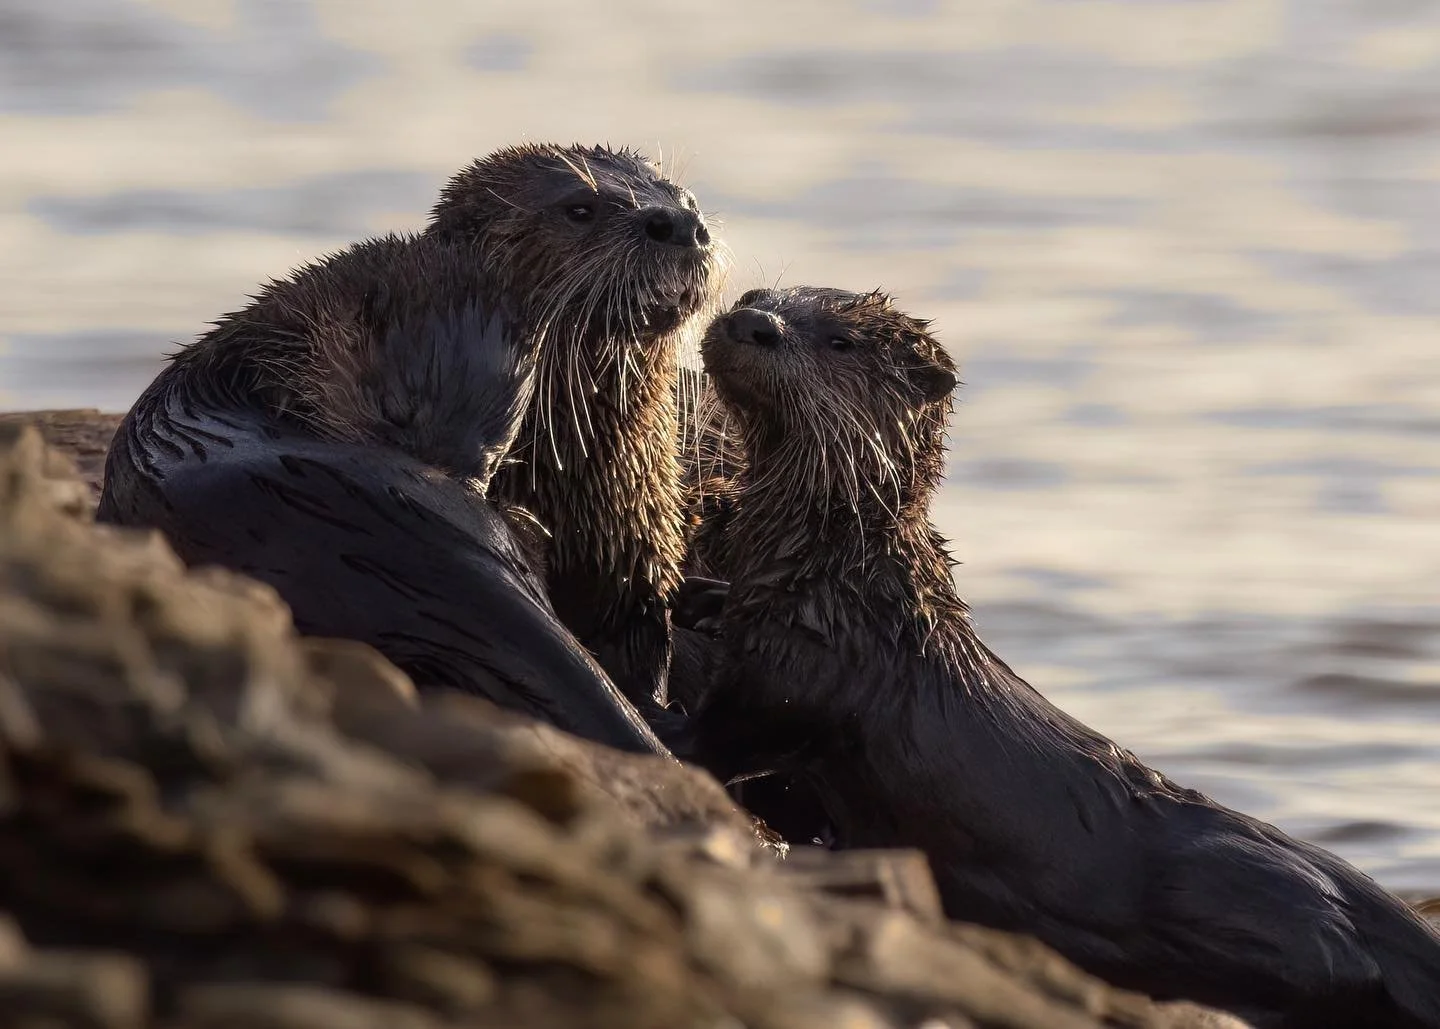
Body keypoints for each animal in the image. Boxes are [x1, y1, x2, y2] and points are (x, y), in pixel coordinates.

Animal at [679, 286, 1440, 1028]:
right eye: (758, 295)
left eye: (839, 340)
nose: (753, 321)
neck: (834, 584)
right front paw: (698, 599)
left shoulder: (796, 679)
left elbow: (725, 735)